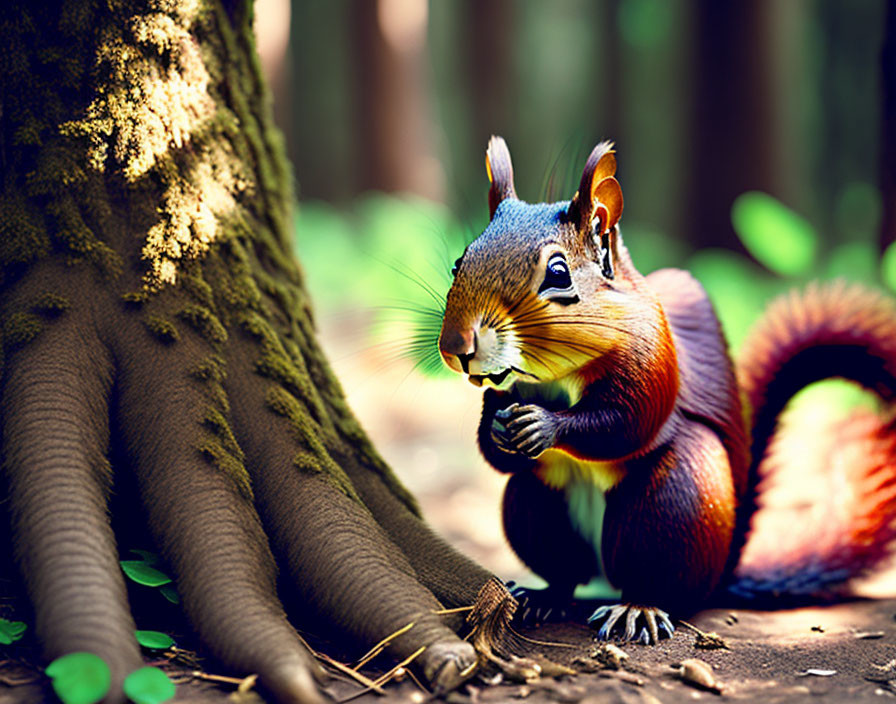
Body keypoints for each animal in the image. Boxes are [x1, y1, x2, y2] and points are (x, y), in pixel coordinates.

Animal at [438, 136, 896, 644]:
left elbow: (625, 424)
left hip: (672, 506)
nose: (457, 348)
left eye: (558, 274)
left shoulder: (652, 358)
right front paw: (499, 431)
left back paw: (638, 608)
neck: (551, 377)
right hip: (536, 503)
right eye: (459, 263)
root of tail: (722, 571)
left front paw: (543, 426)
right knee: (563, 568)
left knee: (658, 579)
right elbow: (495, 452)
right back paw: (544, 596)